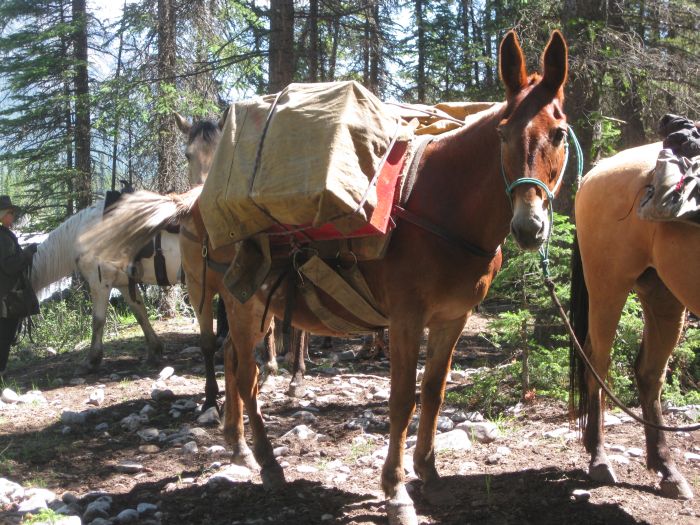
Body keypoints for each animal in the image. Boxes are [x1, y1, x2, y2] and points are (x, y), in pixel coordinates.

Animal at [572, 140, 696, 500]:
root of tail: (594, 173)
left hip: (663, 296)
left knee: (649, 372)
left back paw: (667, 470)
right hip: (608, 288)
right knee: (597, 365)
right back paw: (599, 459)